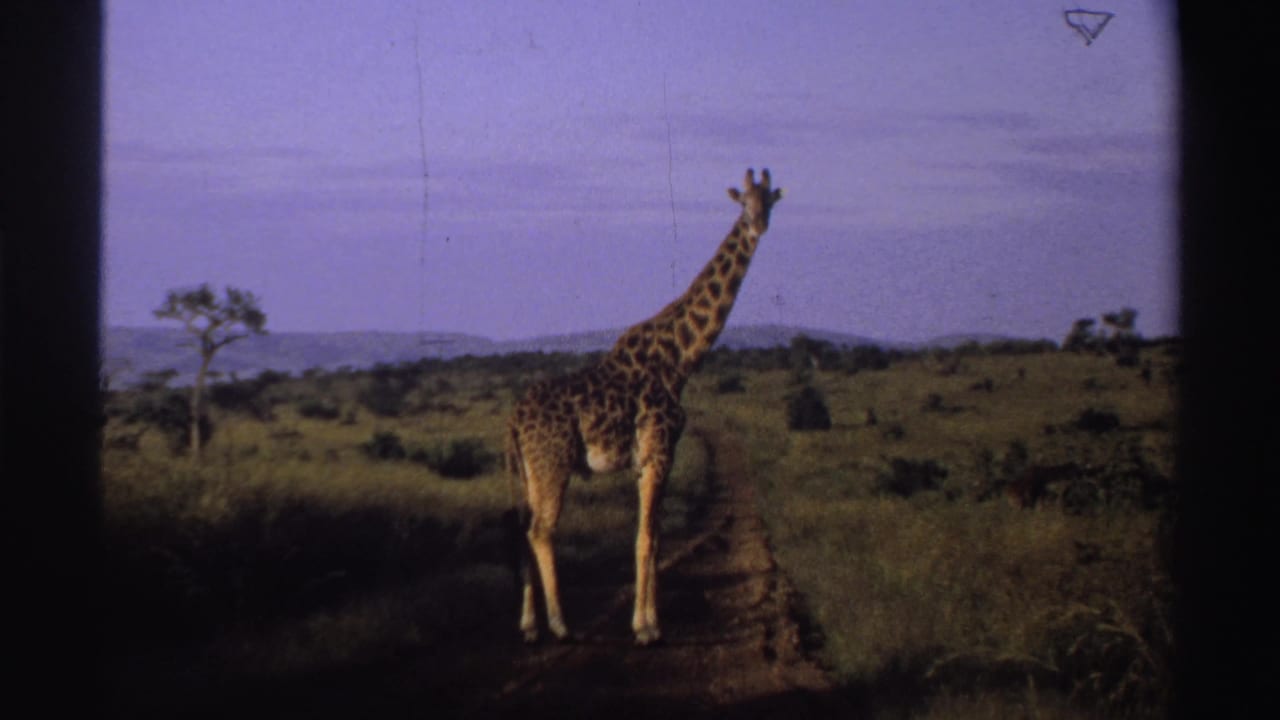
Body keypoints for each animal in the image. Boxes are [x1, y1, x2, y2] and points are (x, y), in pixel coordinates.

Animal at [506, 168, 783, 645]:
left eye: (768, 201)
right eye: (743, 202)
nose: (758, 226)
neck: (681, 358)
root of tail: (513, 420)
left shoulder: (651, 460)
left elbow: (655, 537)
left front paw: (653, 620)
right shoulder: (658, 452)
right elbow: (646, 538)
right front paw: (646, 627)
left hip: (528, 473)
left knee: (525, 531)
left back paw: (528, 626)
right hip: (552, 464)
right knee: (541, 531)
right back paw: (560, 624)